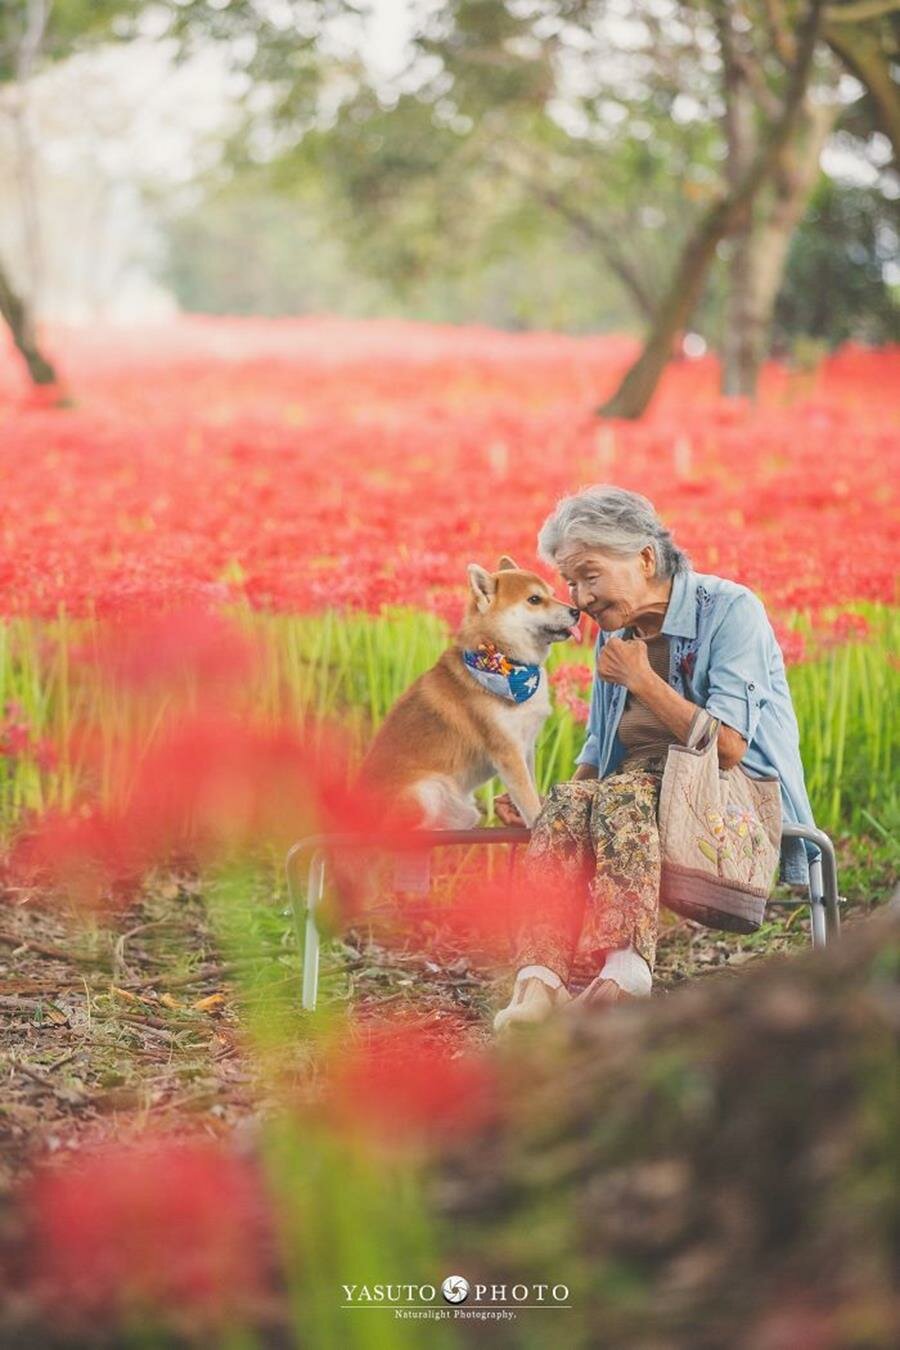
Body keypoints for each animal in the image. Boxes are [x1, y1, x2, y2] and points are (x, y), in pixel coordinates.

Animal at [361, 553, 580, 826]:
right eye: (534, 599)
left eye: (552, 593)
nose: (576, 610)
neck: (505, 663)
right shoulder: (508, 752)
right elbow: (530, 803)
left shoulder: (526, 745)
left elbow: (531, 788)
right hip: (428, 791)